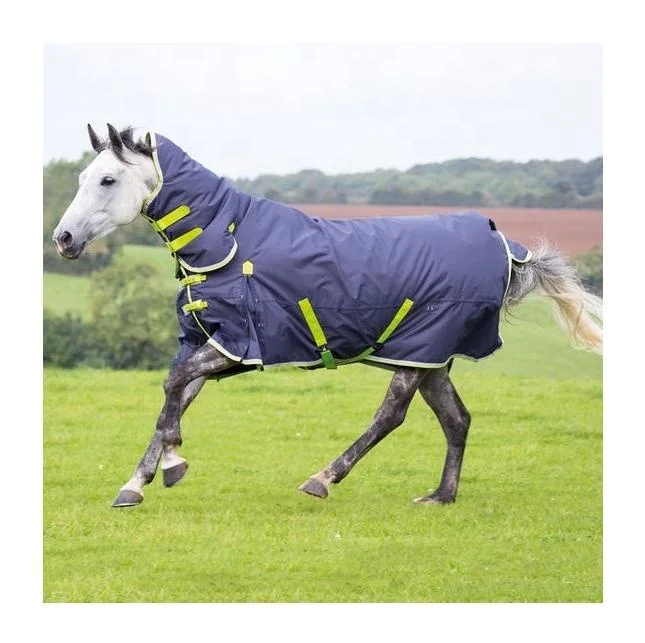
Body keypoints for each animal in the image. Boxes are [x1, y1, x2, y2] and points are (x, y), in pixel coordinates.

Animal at [52, 124, 603, 508]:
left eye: (107, 179)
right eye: (80, 178)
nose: (63, 239)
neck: (228, 241)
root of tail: (507, 247)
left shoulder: (236, 348)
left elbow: (172, 387)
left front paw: (172, 465)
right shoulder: (212, 344)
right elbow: (173, 400)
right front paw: (136, 484)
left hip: (418, 352)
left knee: (391, 416)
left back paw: (323, 478)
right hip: (431, 360)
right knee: (457, 419)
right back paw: (439, 496)